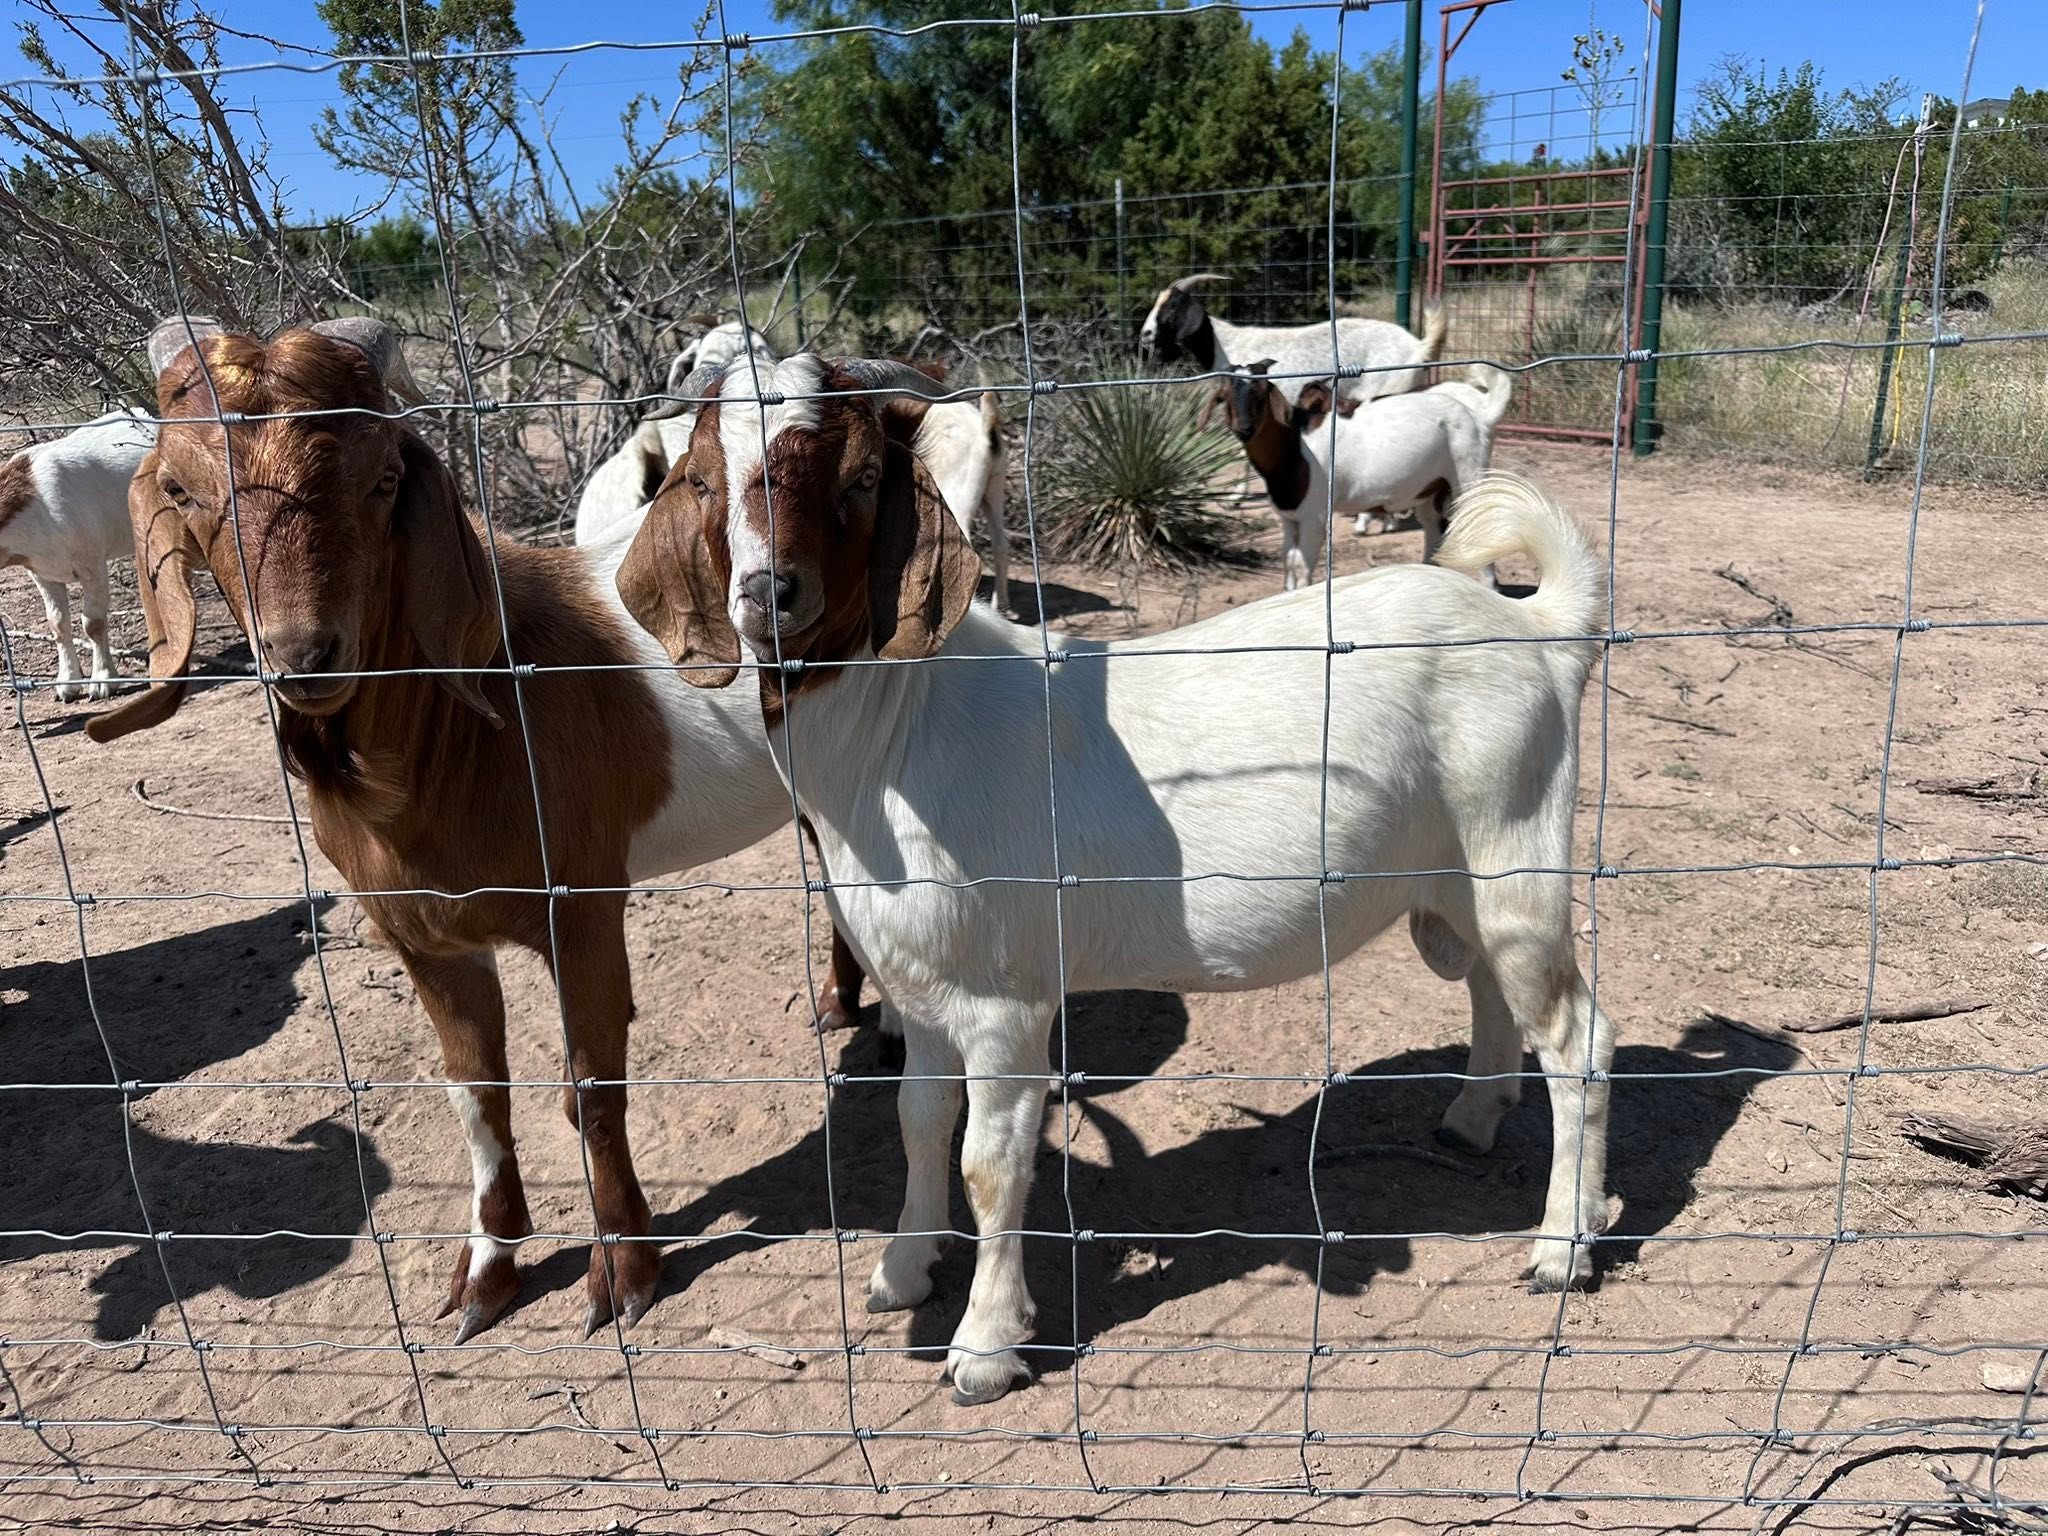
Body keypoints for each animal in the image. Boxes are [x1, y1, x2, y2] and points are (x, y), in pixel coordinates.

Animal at [1, 409, 157, 701]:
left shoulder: (92, 566)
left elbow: (93, 623)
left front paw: (103, 681)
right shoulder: (42, 574)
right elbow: (58, 625)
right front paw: (68, 684)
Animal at [85, 318, 869, 1342]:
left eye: (384, 478)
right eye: (180, 489)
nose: (304, 656)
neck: (465, 726)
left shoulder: (583, 908)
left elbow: (590, 1089)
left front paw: (623, 1271)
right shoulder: (423, 935)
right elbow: (474, 1093)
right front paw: (487, 1272)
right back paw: (846, 1007)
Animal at [1221, 359, 1511, 591]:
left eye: (1261, 393)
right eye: (1226, 394)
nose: (1244, 428)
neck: (1294, 445)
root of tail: (1480, 415)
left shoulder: (1314, 515)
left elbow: (1303, 565)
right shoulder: (1289, 516)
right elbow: (1288, 561)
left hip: (1469, 471)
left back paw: (1490, 587)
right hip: (1431, 488)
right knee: (1432, 526)